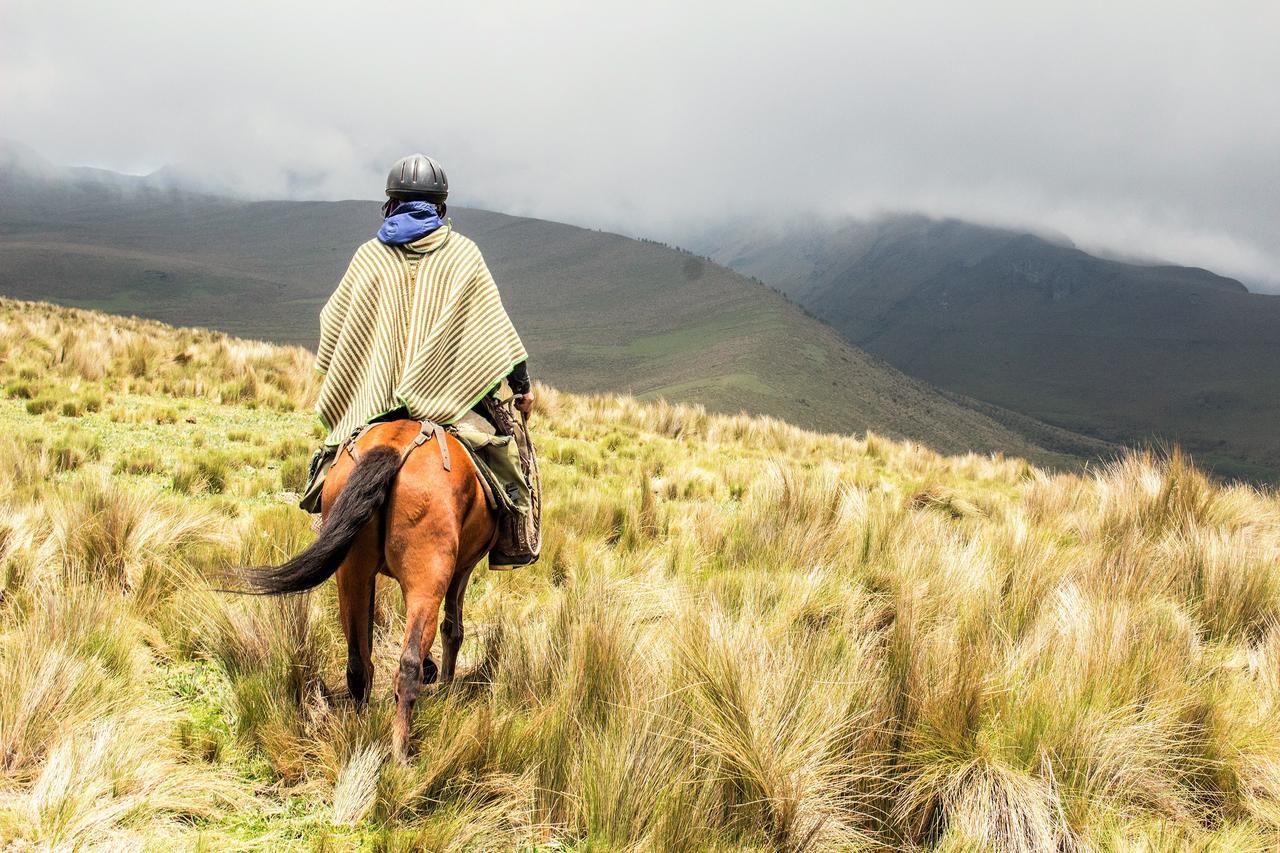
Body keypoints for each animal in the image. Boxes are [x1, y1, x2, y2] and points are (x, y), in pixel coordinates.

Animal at [238, 417, 496, 758]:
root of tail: (393, 445)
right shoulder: (463, 569)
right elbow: (453, 630)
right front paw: (446, 689)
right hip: (428, 573)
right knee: (408, 662)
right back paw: (400, 752)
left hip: (351, 572)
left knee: (358, 661)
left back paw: (359, 725)